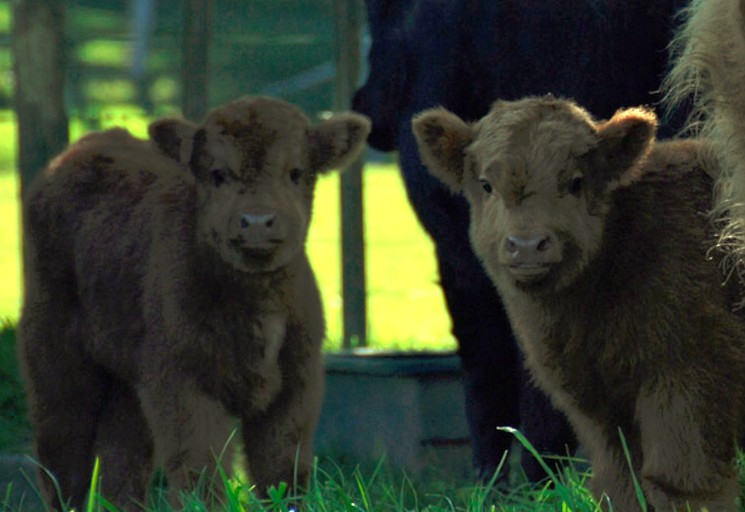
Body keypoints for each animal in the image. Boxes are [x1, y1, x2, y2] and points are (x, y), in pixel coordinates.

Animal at [19, 97, 372, 512]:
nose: (256, 221)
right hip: (54, 356)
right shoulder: (183, 381)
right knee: (63, 455)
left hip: (127, 377)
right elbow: (200, 470)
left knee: (123, 459)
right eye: (218, 174)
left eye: (296, 172)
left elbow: (282, 471)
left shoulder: (297, 381)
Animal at [412, 97, 744, 512]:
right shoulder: (593, 403)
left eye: (575, 181)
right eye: (486, 184)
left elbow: (683, 483)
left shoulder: (690, 379)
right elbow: (622, 483)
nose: (527, 245)